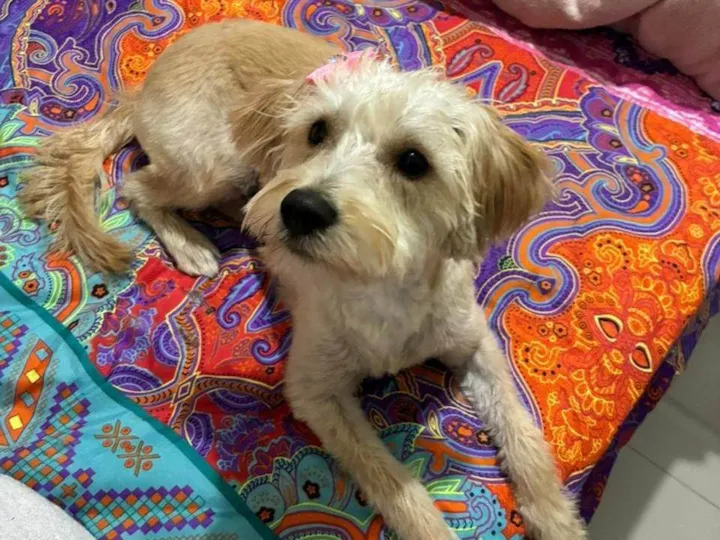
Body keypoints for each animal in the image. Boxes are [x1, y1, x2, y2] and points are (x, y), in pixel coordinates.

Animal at [21, 20, 587, 540]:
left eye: (413, 161)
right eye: (317, 131)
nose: (300, 209)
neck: (381, 283)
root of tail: (151, 77)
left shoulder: (475, 346)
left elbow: (524, 436)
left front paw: (556, 519)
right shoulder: (316, 391)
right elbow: (394, 483)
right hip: (214, 163)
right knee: (136, 186)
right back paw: (192, 241)